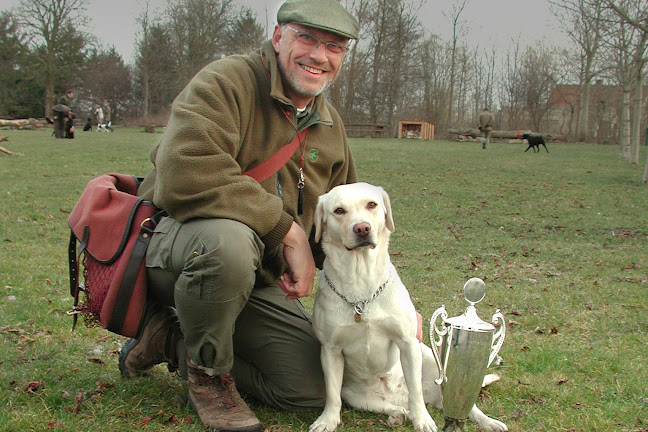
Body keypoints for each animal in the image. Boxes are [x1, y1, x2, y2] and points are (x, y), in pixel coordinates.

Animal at [308, 183, 506, 432]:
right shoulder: (330, 350)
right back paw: (397, 414)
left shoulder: (408, 343)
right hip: (354, 394)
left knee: (459, 402)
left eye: (371, 204)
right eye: (339, 210)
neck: (361, 284)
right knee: (388, 405)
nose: (362, 228)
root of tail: (397, 396)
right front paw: (327, 420)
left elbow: (416, 391)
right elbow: (332, 394)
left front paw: (423, 420)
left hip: (431, 359)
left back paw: (489, 422)